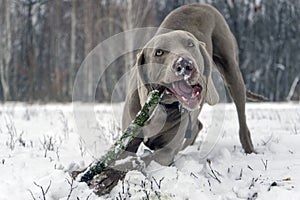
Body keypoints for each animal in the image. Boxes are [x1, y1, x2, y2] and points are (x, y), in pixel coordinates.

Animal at [92, 2, 264, 194]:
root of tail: (201, 4)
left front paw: (107, 177)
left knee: (241, 116)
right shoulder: (128, 140)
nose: (185, 65)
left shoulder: (165, 152)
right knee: (197, 125)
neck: (161, 106)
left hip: (231, 68)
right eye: (159, 53)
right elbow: (125, 157)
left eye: (190, 44)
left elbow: (139, 160)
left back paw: (249, 149)